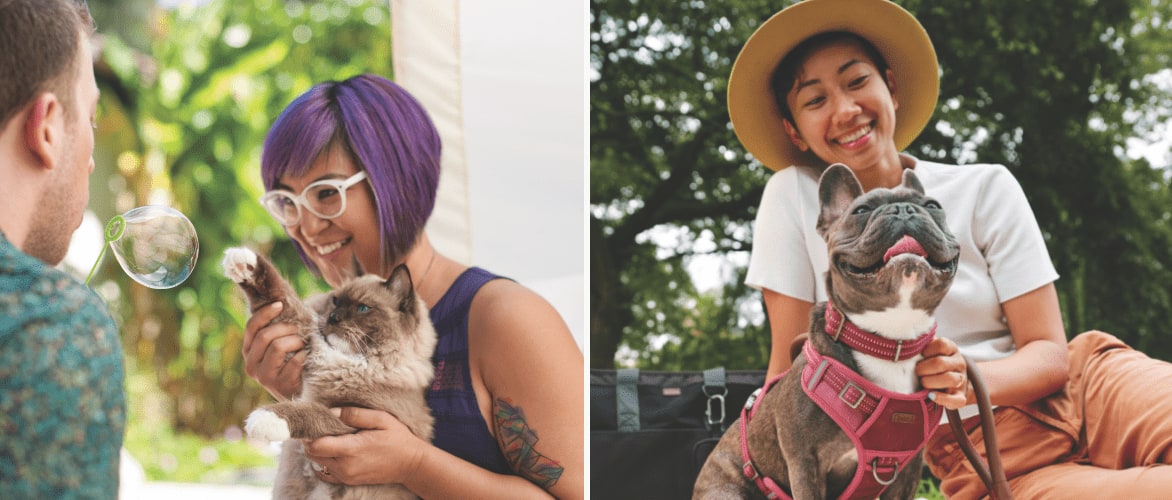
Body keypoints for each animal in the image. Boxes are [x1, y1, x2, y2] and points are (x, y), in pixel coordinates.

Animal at [220, 247, 435, 500]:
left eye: (363, 308)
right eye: (336, 301)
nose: (333, 318)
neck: (354, 362)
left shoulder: (357, 420)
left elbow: (312, 412)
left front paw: (265, 418)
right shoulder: (309, 336)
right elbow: (280, 295)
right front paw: (243, 262)